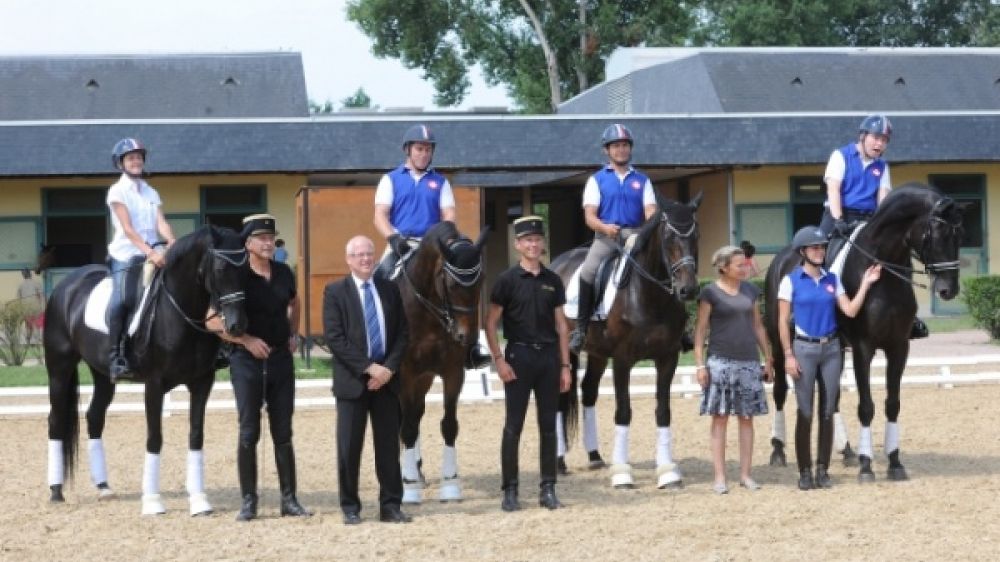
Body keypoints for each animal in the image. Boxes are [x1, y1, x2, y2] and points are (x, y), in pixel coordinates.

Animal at [45, 225, 250, 516]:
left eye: (247, 269)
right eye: (220, 268)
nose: (237, 325)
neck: (178, 308)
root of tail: (66, 284)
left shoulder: (202, 382)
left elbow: (196, 436)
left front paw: (200, 500)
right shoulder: (155, 385)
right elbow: (155, 438)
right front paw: (152, 502)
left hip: (103, 375)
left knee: (94, 417)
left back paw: (104, 487)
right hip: (59, 368)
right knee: (55, 420)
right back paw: (56, 491)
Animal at [394, 220, 488, 504]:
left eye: (481, 280)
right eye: (452, 285)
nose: (466, 337)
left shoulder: (453, 371)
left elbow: (449, 425)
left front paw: (450, 485)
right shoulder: (405, 374)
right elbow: (407, 428)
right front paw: (409, 489)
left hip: (424, 378)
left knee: (415, 414)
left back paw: (416, 470)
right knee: (406, 421)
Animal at [556, 195, 704, 488]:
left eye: (696, 236)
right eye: (669, 237)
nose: (688, 290)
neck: (648, 295)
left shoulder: (667, 358)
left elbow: (663, 411)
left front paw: (667, 472)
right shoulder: (623, 360)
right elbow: (623, 412)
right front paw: (622, 473)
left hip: (598, 354)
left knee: (588, 392)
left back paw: (595, 457)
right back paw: (559, 463)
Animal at [764, 185, 960, 482]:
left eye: (959, 233)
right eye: (937, 232)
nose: (950, 289)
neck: (882, 273)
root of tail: (782, 257)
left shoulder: (899, 347)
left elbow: (892, 404)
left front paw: (894, 463)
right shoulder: (863, 347)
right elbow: (866, 406)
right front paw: (867, 466)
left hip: (836, 348)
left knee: (831, 398)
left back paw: (846, 450)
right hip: (779, 342)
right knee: (779, 392)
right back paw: (777, 451)